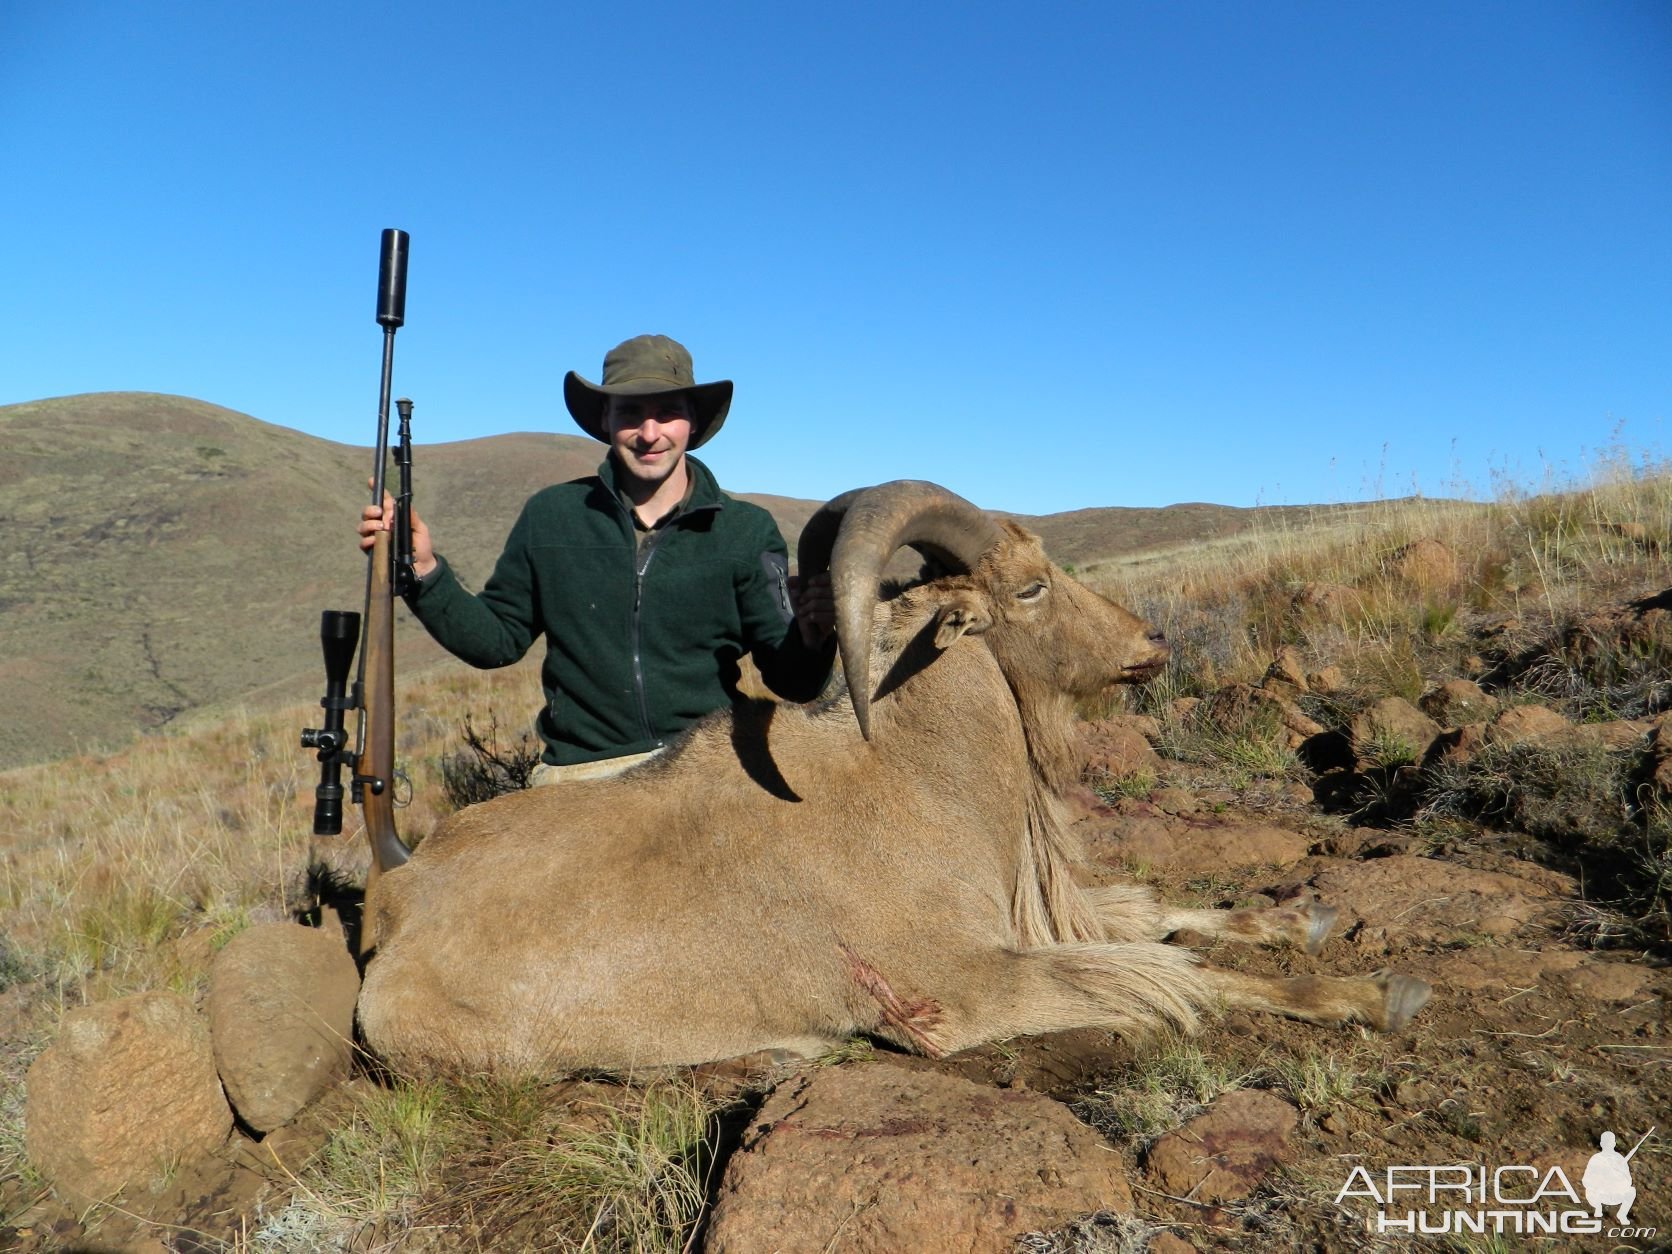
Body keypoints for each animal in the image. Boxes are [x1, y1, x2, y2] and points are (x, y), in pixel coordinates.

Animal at [359, 481, 1431, 1083]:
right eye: (1030, 587)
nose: (1150, 643)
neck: (914, 777)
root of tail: (388, 903)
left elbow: (1160, 914)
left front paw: (1298, 916)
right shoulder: (965, 985)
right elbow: (1176, 973)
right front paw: (1370, 993)